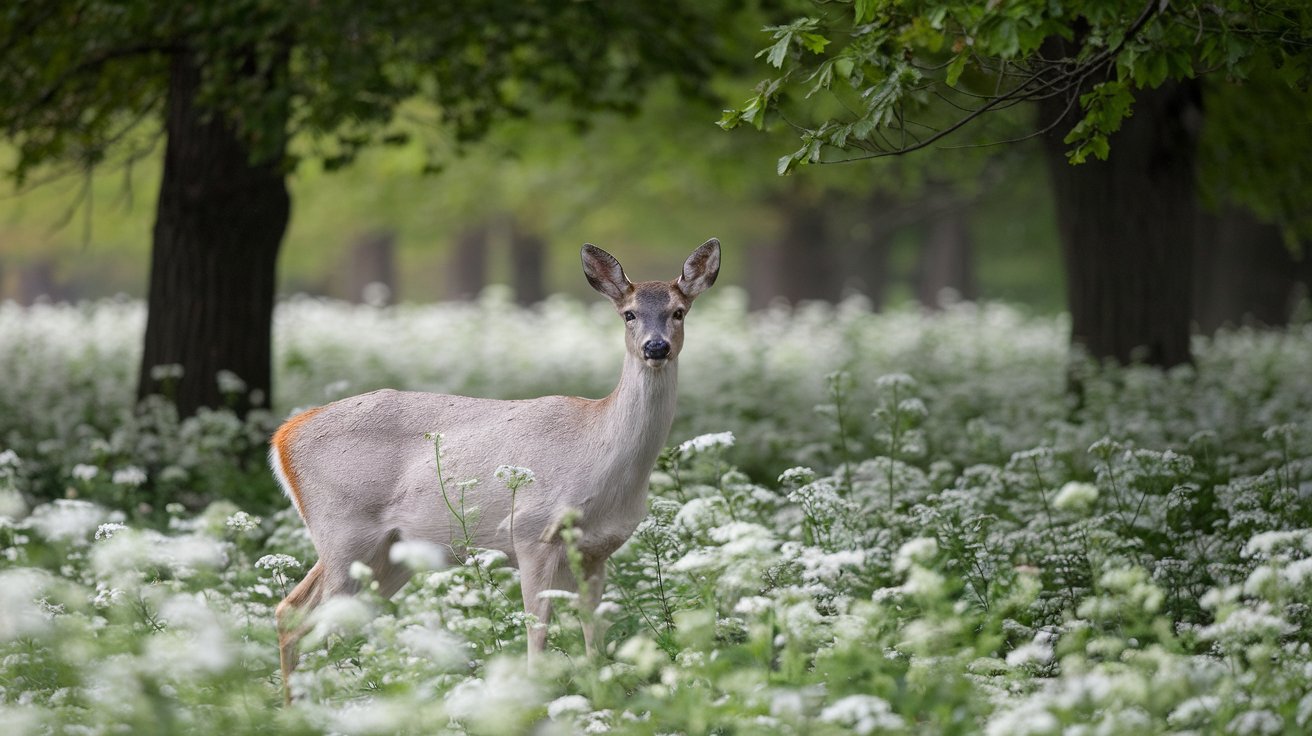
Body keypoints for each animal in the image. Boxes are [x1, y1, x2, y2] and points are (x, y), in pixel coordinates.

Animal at [267, 236, 718, 697]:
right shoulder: (531, 532)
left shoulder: (597, 550)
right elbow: (537, 632)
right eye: (628, 313)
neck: (600, 460)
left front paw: (602, 696)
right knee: (298, 614)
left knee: (308, 615)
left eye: (678, 311)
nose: (655, 347)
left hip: (388, 552)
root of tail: (283, 435)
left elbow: (595, 637)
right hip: (342, 530)